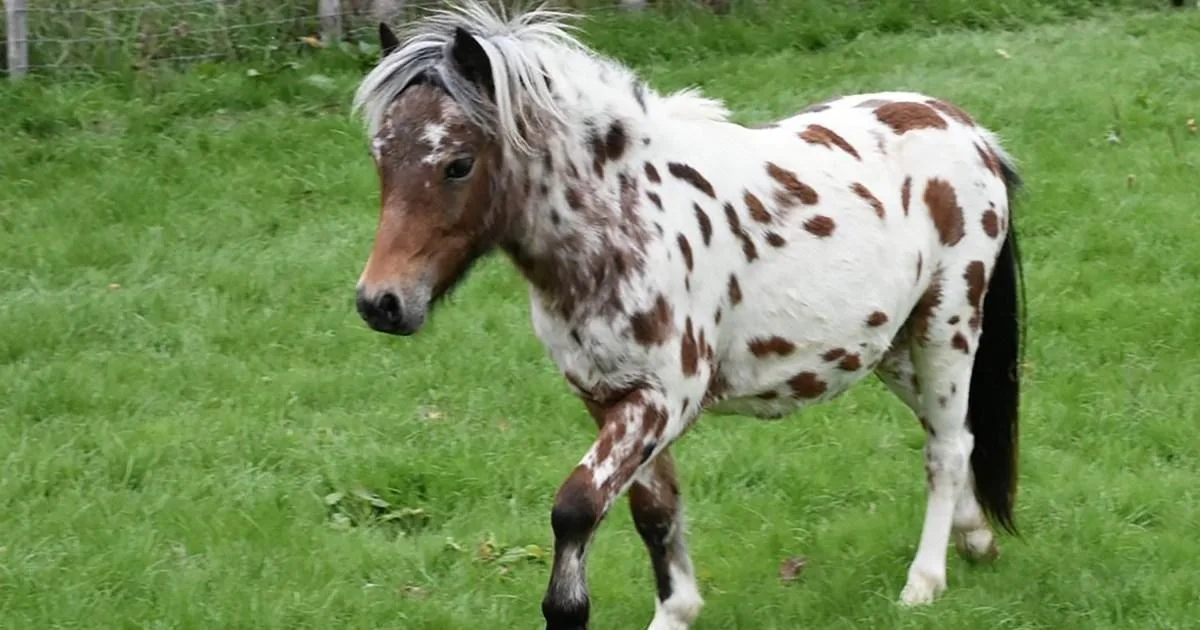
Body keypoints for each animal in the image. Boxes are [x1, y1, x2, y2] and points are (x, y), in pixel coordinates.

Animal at [350, 3, 1025, 628]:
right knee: (957, 431)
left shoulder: (664, 398)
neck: (624, 221)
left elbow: (576, 506)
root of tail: (970, 131)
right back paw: (977, 539)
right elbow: (653, 513)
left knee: (944, 449)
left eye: (457, 163)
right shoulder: (607, 397)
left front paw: (569, 608)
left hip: (947, 325)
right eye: (380, 159)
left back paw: (924, 581)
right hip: (884, 348)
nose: (381, 302)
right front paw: (675, 609)